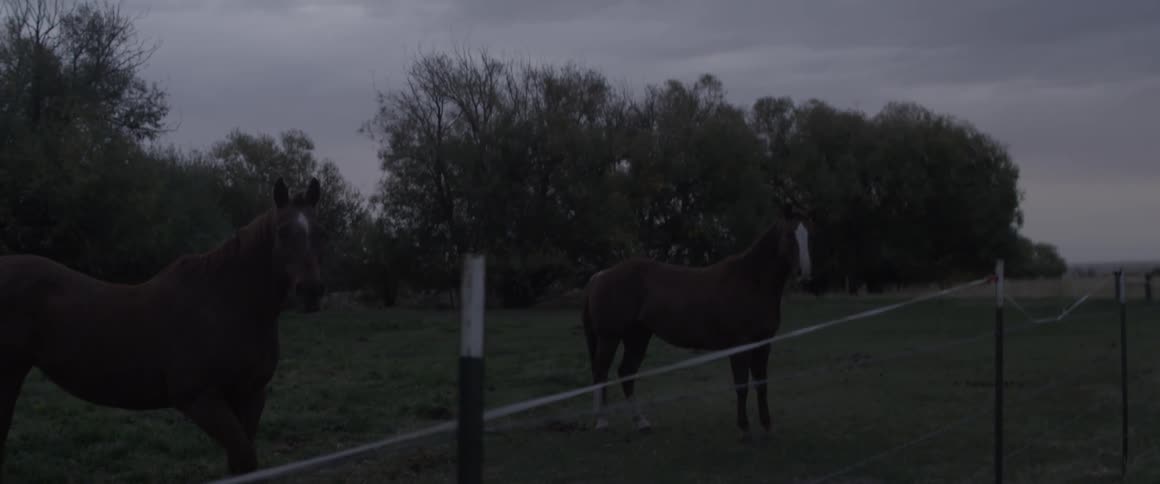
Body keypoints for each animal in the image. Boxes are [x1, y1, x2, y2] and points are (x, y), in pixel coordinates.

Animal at [0, 177, 327, 480]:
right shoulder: (199, 399)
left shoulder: (250, 395)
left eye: (319, 232)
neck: (225, 304)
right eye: (282, 231)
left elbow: (243, 465)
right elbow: (244, 458)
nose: (311, 290)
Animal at [581, 211, 814, 441]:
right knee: (601, 372)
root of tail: (601, 275)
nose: (804, 273)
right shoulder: (740, 345)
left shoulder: (763, 344)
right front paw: (744, 428)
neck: (751, 282)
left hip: (637, 337)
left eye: (808, 236)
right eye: (789, 235)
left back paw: (642, 422)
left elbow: (762, 384)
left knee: (626, 372)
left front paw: (766, 426)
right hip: (610, 337)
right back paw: (602, 421)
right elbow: (742, 385)